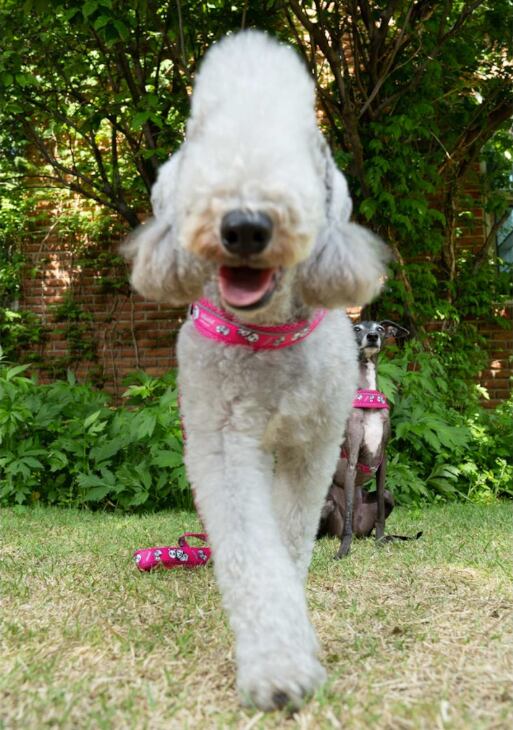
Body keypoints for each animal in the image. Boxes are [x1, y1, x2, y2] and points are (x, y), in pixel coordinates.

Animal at [124, 31, 389, 711]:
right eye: (205, 147)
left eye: (297, 149)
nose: (245, 225)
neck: (265, 338)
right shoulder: (220, 442)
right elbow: (250, 546)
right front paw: (277, 666)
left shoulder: (313, 446)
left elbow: (291, 538)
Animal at [317, 320, 409, 557]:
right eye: (357, 329)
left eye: (380, 328)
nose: (372, 337)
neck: (369, 397)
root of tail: (361, 531)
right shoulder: (352, 461)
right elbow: (349, 511)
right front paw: (343, 551)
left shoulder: (383, 461)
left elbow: (380, 513)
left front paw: (380, 540)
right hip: (327, 507)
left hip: (387, 496)